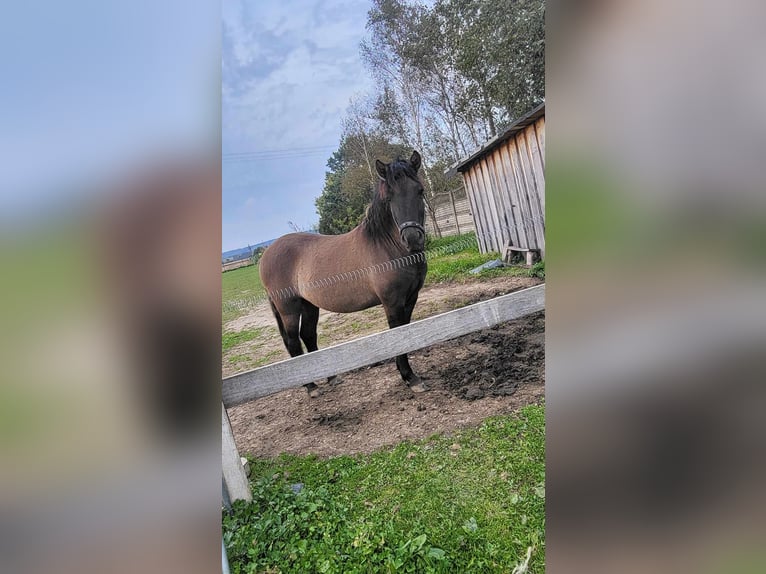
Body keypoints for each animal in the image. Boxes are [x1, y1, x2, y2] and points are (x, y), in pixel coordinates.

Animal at [260, 151, 428, 398]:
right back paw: (311, 387)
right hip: (289, 308)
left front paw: (407, 374)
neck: (386, 246)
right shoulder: (392, 302)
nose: (413, 239)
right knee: (293, 342)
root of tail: (267, 253)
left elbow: (407, 332)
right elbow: (398, 335)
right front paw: (410, 377)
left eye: (420, 190)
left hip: (309, 305)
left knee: (308, 335)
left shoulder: (410, 298)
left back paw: (331, 378)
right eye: (390, 197)